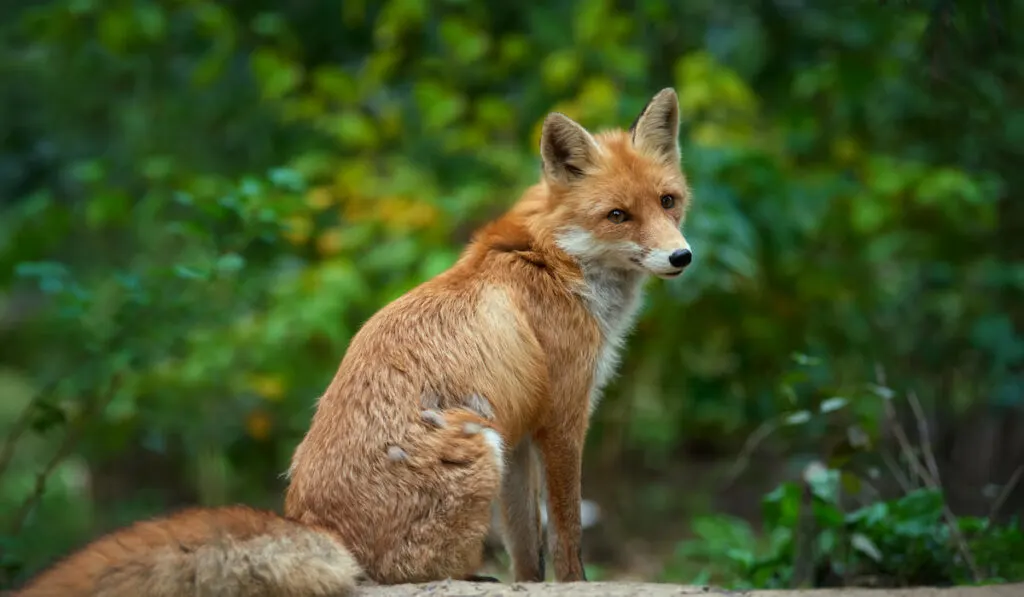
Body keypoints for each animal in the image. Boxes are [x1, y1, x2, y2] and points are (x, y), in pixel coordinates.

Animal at [12, 88, 692, 597]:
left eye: (669, 202)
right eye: (618, 216)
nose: (682, 257)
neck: (554, 259)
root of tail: (316, 525)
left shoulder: (525, 431)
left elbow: (530, 549)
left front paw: (531, 580)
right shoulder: (562, 419)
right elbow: (569, 534)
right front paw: (574, 581)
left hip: (495, 444)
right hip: (479, 445)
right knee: (407, 577)